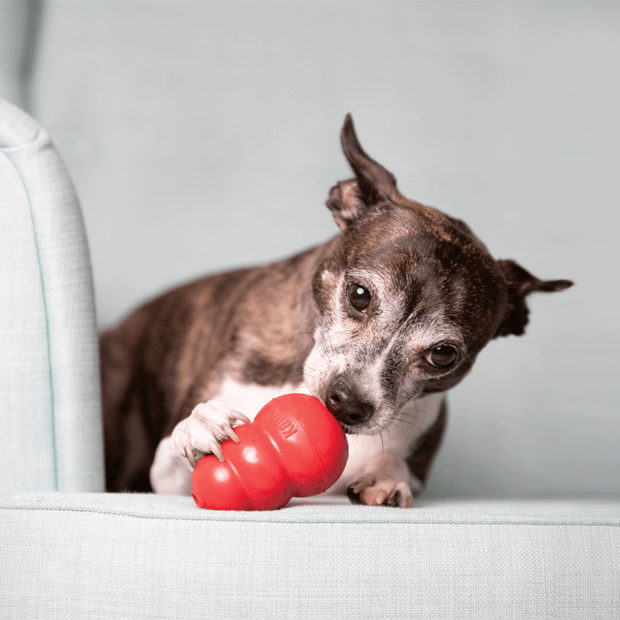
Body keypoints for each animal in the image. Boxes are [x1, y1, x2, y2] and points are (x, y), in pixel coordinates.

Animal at [100, 114, 572, 506]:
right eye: (359, 295)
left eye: (443, 355)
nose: (347, 403)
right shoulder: (165, 483)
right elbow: (176, 455)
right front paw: (199, 427)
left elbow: (397, 469)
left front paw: (385, 475)